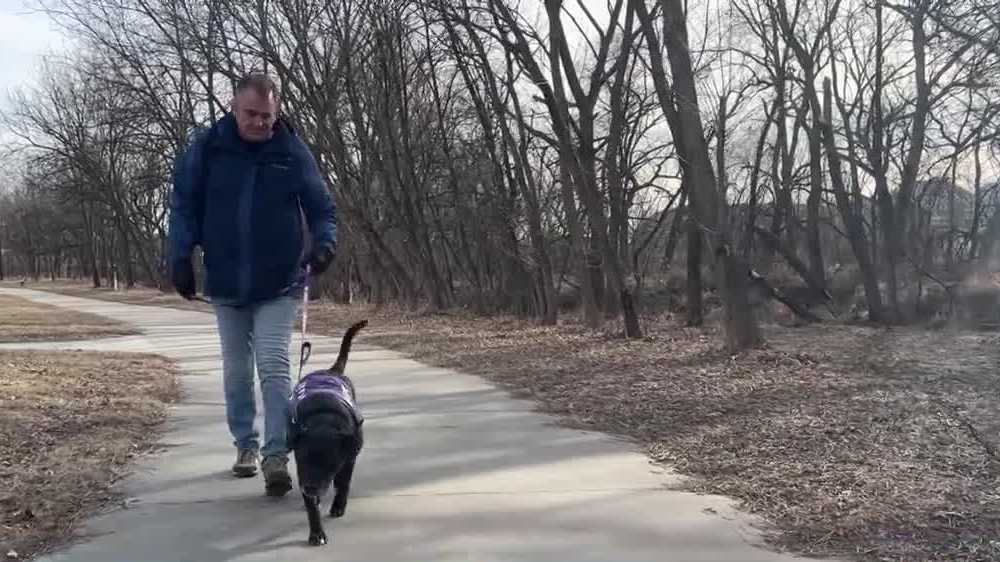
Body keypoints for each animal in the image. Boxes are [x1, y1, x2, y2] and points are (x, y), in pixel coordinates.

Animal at [286, 320, 368, 544]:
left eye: (329, 463)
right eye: (303, 461)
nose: (310, 488)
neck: (324, 420)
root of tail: (331, 371)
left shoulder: (348, 458)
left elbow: (343, 483)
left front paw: (338, 506)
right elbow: (311, 506)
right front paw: (316, 532)